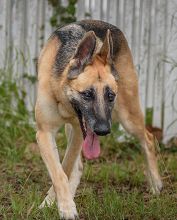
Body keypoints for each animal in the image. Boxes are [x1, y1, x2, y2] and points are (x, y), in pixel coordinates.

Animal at [35, 19, 162, 219]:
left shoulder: (79, 133)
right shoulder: (44, 133)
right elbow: (59, 172)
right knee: (78, 167)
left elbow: (65, 167)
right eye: (87, 94)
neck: (63, 98)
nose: (103, 130)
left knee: (148, 139)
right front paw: (60, 205)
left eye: (110, 96)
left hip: (127, 115)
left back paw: (155, 183)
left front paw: (60, 204)